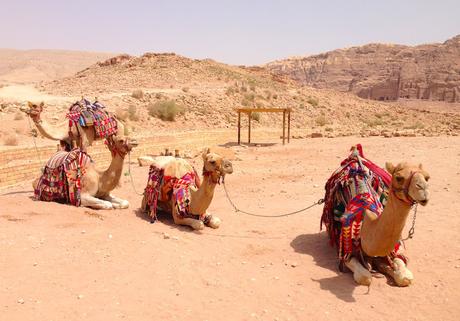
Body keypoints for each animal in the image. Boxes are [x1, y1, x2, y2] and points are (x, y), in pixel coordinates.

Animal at [320, 144, 432, 284]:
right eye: (399, 178)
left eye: (427, 177)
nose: (423, 190)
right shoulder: (346, 251)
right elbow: (364, 277)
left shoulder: (393, 250)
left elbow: (404, 277)